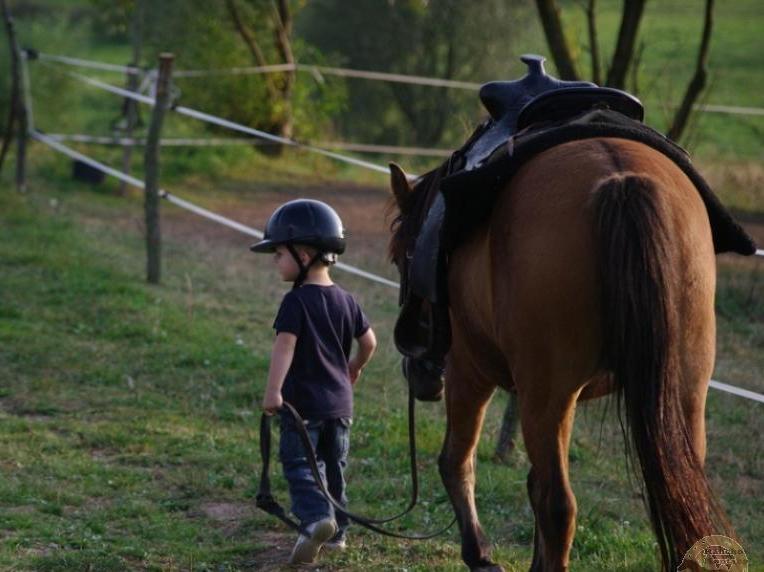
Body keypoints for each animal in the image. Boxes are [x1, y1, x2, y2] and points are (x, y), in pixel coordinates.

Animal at [388, 136, 736, 568]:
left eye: (399, 257)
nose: (416, 373)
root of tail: (621, 179)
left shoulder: (469, 371)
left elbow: (456, 461)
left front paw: (480, 555)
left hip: (541, 396)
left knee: (557, 506)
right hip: (680, 395)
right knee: (677, 494)